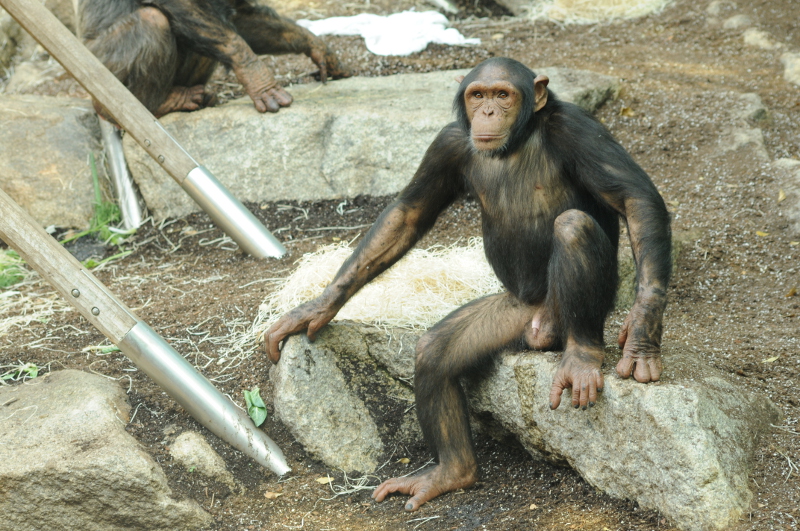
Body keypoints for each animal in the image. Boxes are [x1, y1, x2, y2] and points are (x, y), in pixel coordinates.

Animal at [77, 0, 351, 117]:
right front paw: (260, 79)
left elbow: (241, 20)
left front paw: (318, 47)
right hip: (99, 73)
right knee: (151, 19)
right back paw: (159, 104)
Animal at [265, 57, 671, 511]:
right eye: (478, 95)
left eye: (503, 94)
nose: (488, 111)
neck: (515, 143)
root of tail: (539, 321)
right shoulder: (447, 144)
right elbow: (409, 213)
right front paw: (316, 307)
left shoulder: (578, 128)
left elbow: (635, 199)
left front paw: (642, 334)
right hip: (510, 314)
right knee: (434, 354)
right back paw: (452, 471)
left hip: (560, 317)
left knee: (573, 227)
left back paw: (582, 356)